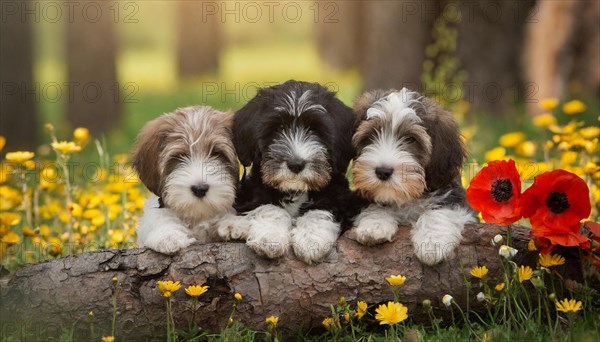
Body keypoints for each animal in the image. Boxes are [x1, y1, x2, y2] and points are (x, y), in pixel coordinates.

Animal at [132, 106, 244, 254]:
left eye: (217, 153)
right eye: (180, 156)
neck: (196, 216)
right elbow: (159, 218)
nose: (200, 188)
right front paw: (167, 235)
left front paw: (230, 223)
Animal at [233, 80, 356, 264]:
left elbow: (320, 209)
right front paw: (270, 237)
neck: (296, 190)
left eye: (314, 129)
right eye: (278, 128)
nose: (296, 164)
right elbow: (268, 207)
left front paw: (311, 240)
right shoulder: (253, 194)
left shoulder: (338, 197)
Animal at [350, 87, 476, 264]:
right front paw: (373, 226)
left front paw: (432, 242)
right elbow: (376, 204)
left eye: (410, 139)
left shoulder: (454, 196)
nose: (383, 171)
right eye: (371, 135)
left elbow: (440, 210)